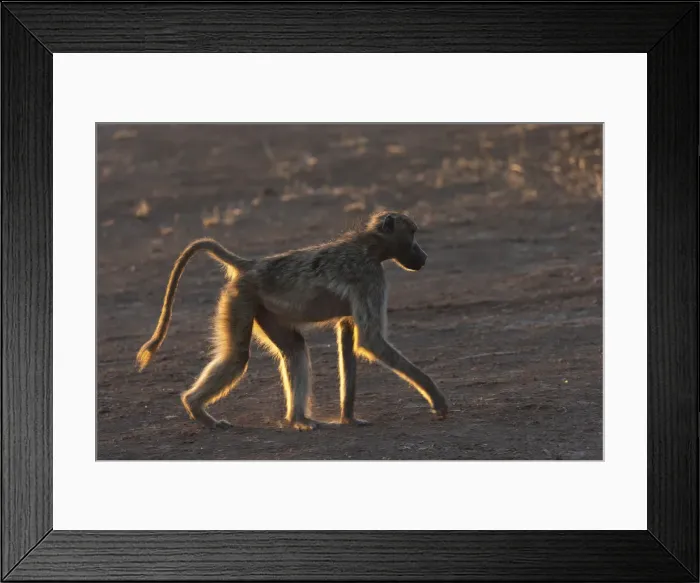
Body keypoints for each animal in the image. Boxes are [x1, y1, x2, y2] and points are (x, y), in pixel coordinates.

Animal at [136, 210, 448, 431]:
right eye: (413, 234)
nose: (423, 256)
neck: (369, 246)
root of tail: (249, 265)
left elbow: (349, 336)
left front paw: (348, 417)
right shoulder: (370, 277)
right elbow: (369, 340)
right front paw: (437, 399)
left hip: (263, 310)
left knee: (295, 348)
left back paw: (298, 419)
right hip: (240, 299)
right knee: (237, 357)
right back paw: (198, 410)